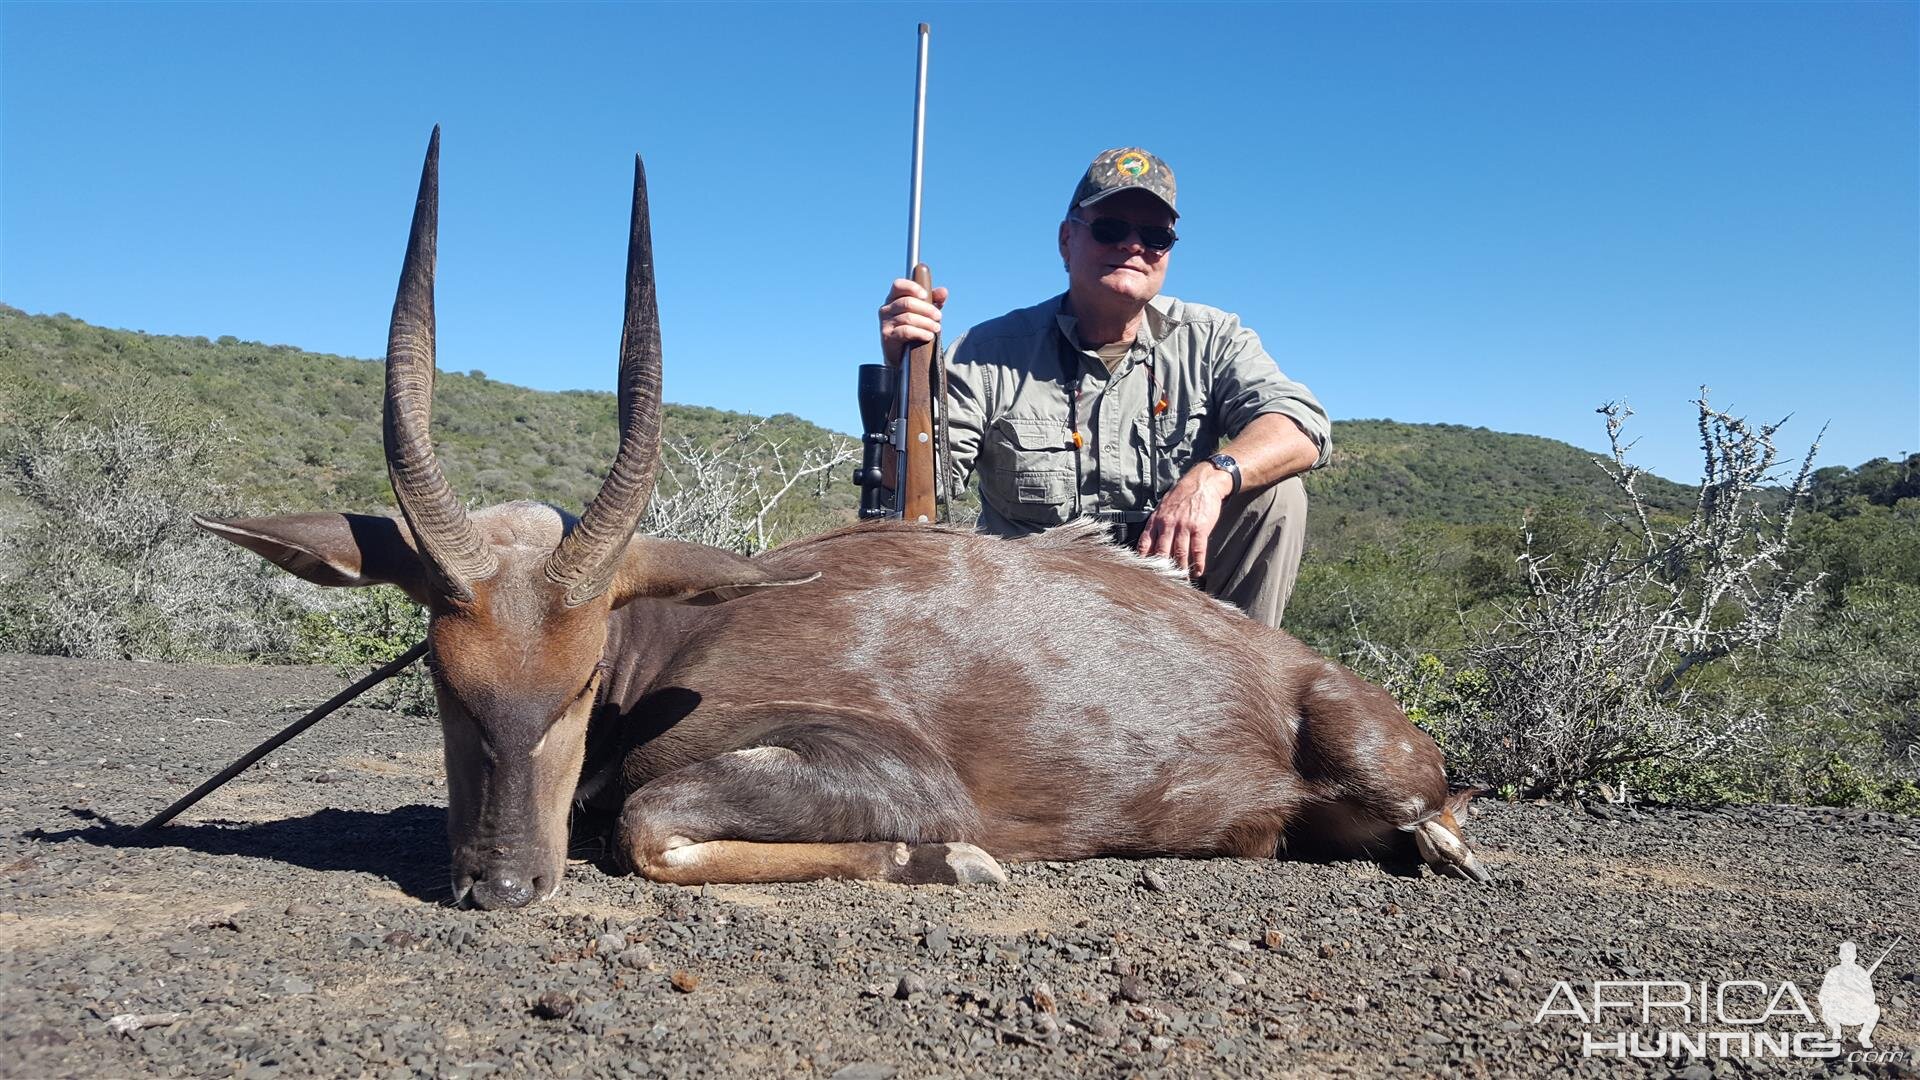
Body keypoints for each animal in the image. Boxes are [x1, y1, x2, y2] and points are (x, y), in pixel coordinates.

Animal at [198, 134, 1482, 907]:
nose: (502, 887)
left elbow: (647, 823)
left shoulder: (892, 766)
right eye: (443, 680)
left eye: (578, 683)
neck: (674, 643)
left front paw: (957, 859)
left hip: (1377, 760)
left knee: (1441, 819)